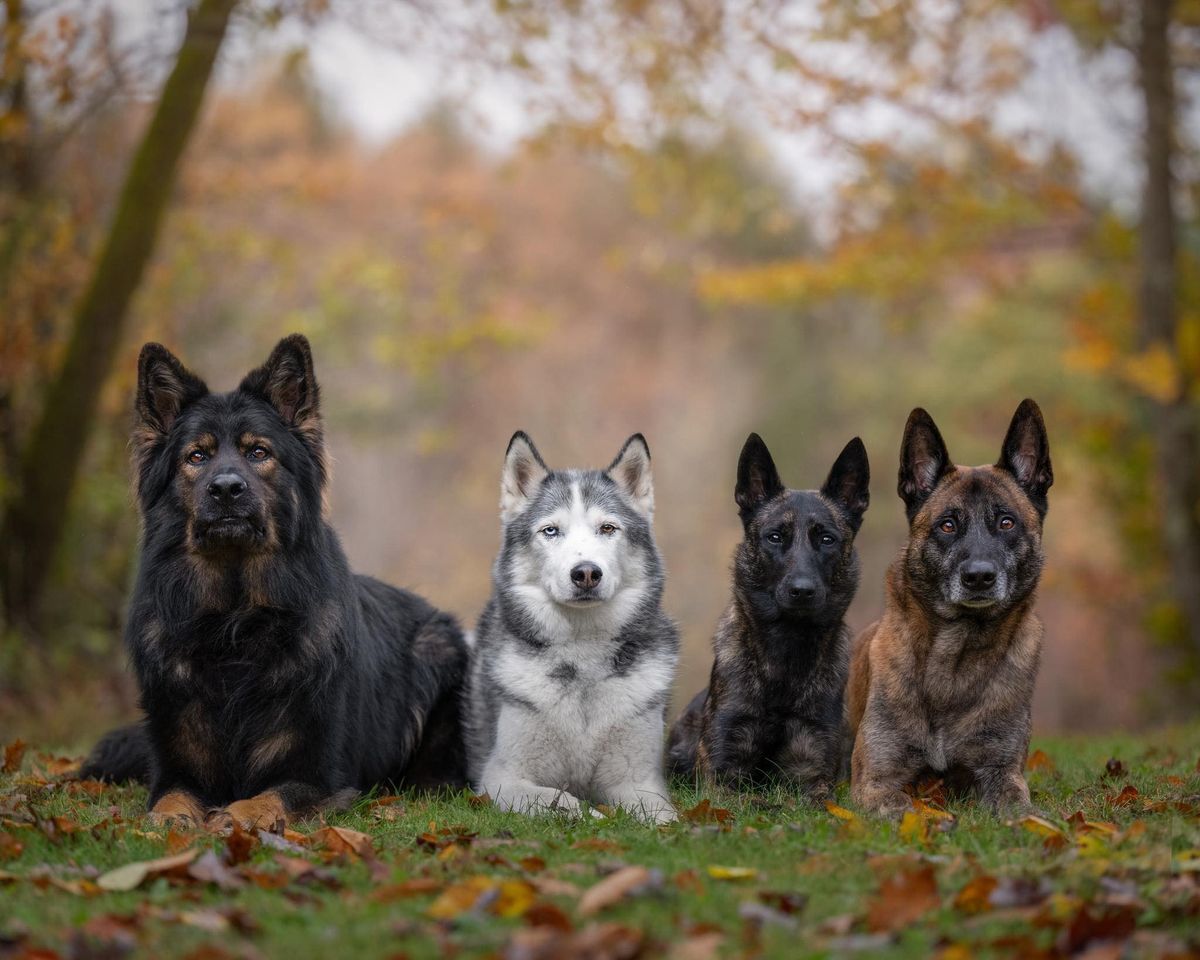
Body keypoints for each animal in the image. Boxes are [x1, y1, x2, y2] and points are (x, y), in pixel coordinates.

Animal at [82, 333, 468, 830]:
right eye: (197, 456)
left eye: (258, 453)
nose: (226, 489)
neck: (234, 622)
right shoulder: (175, 769)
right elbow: (169, 800)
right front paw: (167, 824)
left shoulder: (316, 776)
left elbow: (263, 798)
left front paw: (231, 819)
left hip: (435, 653)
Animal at [844, 398, 1051, 816]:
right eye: (948, 525)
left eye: (1007, 523)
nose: (979, 577)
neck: (954, 660)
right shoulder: (876, 781)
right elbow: (907, 809)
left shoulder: (1003, 772)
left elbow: (1023, 811)